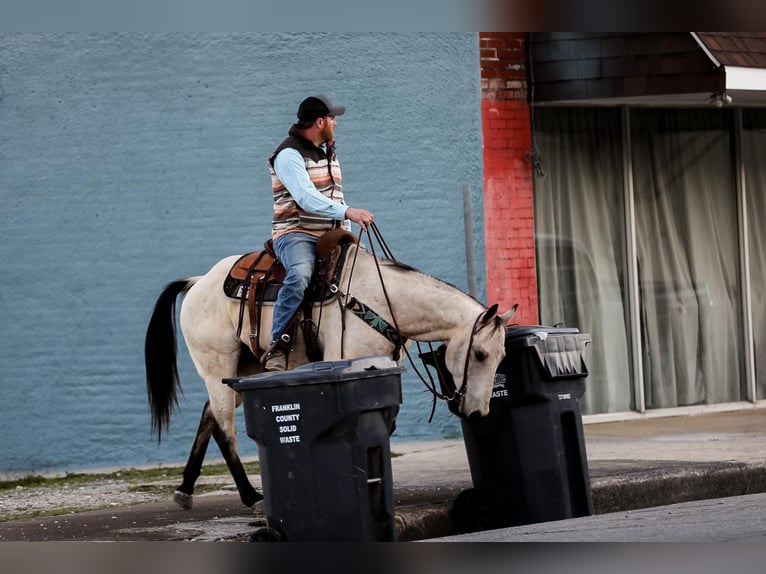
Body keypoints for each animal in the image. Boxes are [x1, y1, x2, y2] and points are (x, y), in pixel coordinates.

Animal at [144, 232, 516, 510]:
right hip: (217, 366)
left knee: (209, 413)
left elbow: (386, 422)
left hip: (244, 371)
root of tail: (197, 283)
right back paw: (252, 497)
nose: (478, 412)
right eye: (480, 353)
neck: (384, 301)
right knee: (223, 427)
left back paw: (186, 489)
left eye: (500, 357)